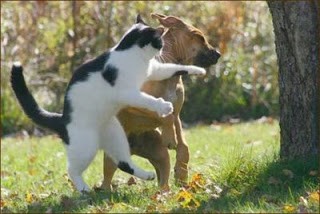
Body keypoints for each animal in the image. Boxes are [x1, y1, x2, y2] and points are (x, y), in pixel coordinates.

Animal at [10, 15, 205, 192]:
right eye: (159, 42)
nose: (162, 51)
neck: (132, 54)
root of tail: (61, 119)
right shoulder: (128, 92)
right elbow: (148, 99)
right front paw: (164, 106)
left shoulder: (154, 70)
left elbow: (174, 68)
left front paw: (197, 70)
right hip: (86, 146)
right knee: (72, 169)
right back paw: (84, 189)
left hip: (116, 135)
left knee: (123, 162)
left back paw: (146, 175)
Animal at [100, 13, 220, 191]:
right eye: (199, 37)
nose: (218, 54)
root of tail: (132, 148)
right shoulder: (134, 104)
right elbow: (164, 114)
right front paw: (170, 137)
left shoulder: (177, 115)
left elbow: (183, 145)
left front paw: (182, 172)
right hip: (113, 155)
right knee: (107, 176)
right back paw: (105, 192)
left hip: (159, 153)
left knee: (163, 177)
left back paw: (165, 192)